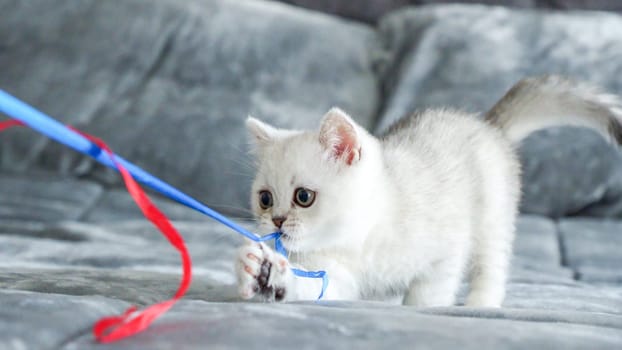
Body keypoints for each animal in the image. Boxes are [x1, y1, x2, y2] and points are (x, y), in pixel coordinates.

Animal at [236, 76, 622, 306]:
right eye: (265, 199)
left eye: (303, 197)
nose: (276, 221)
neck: (363, 238)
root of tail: (486, 124)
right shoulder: (335, 274)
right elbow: (316, 288)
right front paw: (265, 275)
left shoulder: (445, 250)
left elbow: (429, 294)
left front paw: (422, 308)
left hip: (492, 220)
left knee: (491, 267)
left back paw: (481, 305)